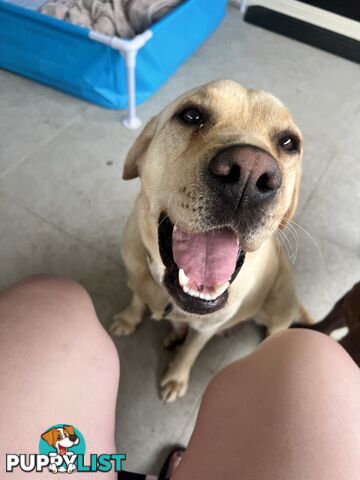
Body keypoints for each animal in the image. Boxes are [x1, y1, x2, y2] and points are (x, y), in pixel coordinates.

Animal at [112, 80, 312, 404]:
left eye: (288, 142)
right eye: (191, 115)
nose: (250, 173)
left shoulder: (207, 327)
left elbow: (190, 352)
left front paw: (176, 378)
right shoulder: (134, 277)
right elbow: (137, 299)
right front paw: (129, 319)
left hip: (279, 308)